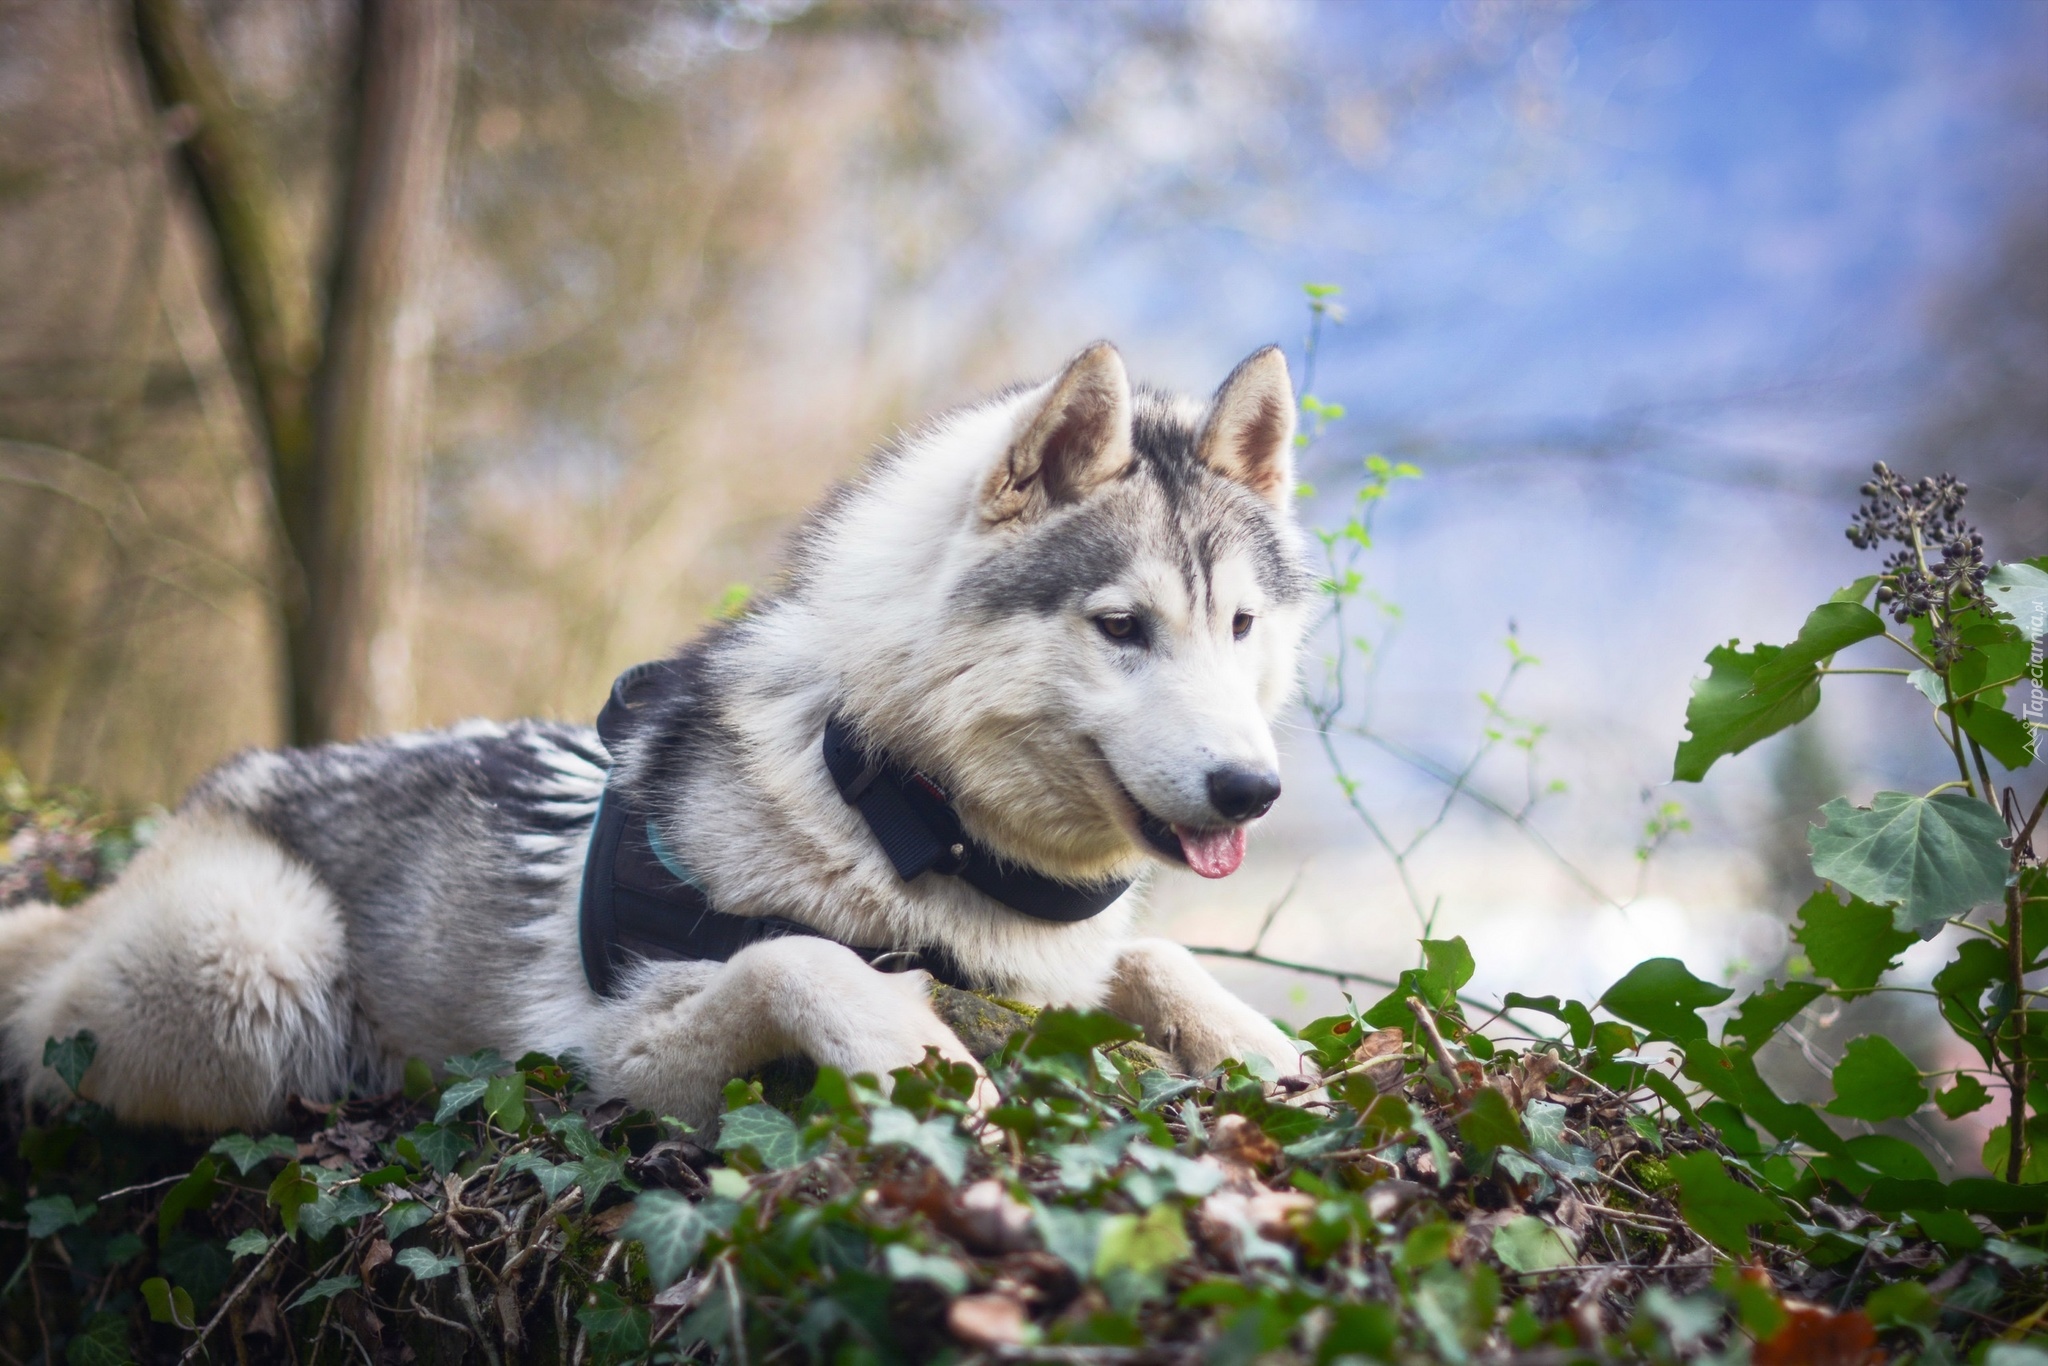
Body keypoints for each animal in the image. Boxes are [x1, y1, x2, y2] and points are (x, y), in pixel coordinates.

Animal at [0, 342, 1310, 1130]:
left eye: (1239, 624)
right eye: (1121, 626)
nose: (1250, 790)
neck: (896, 806)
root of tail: (198, 808)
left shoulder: (1067, 971)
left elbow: (1156, 957)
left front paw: (1269, 1056)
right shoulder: (606, 1054)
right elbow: (802, 959)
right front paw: (924, 1061)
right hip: (254, 980)